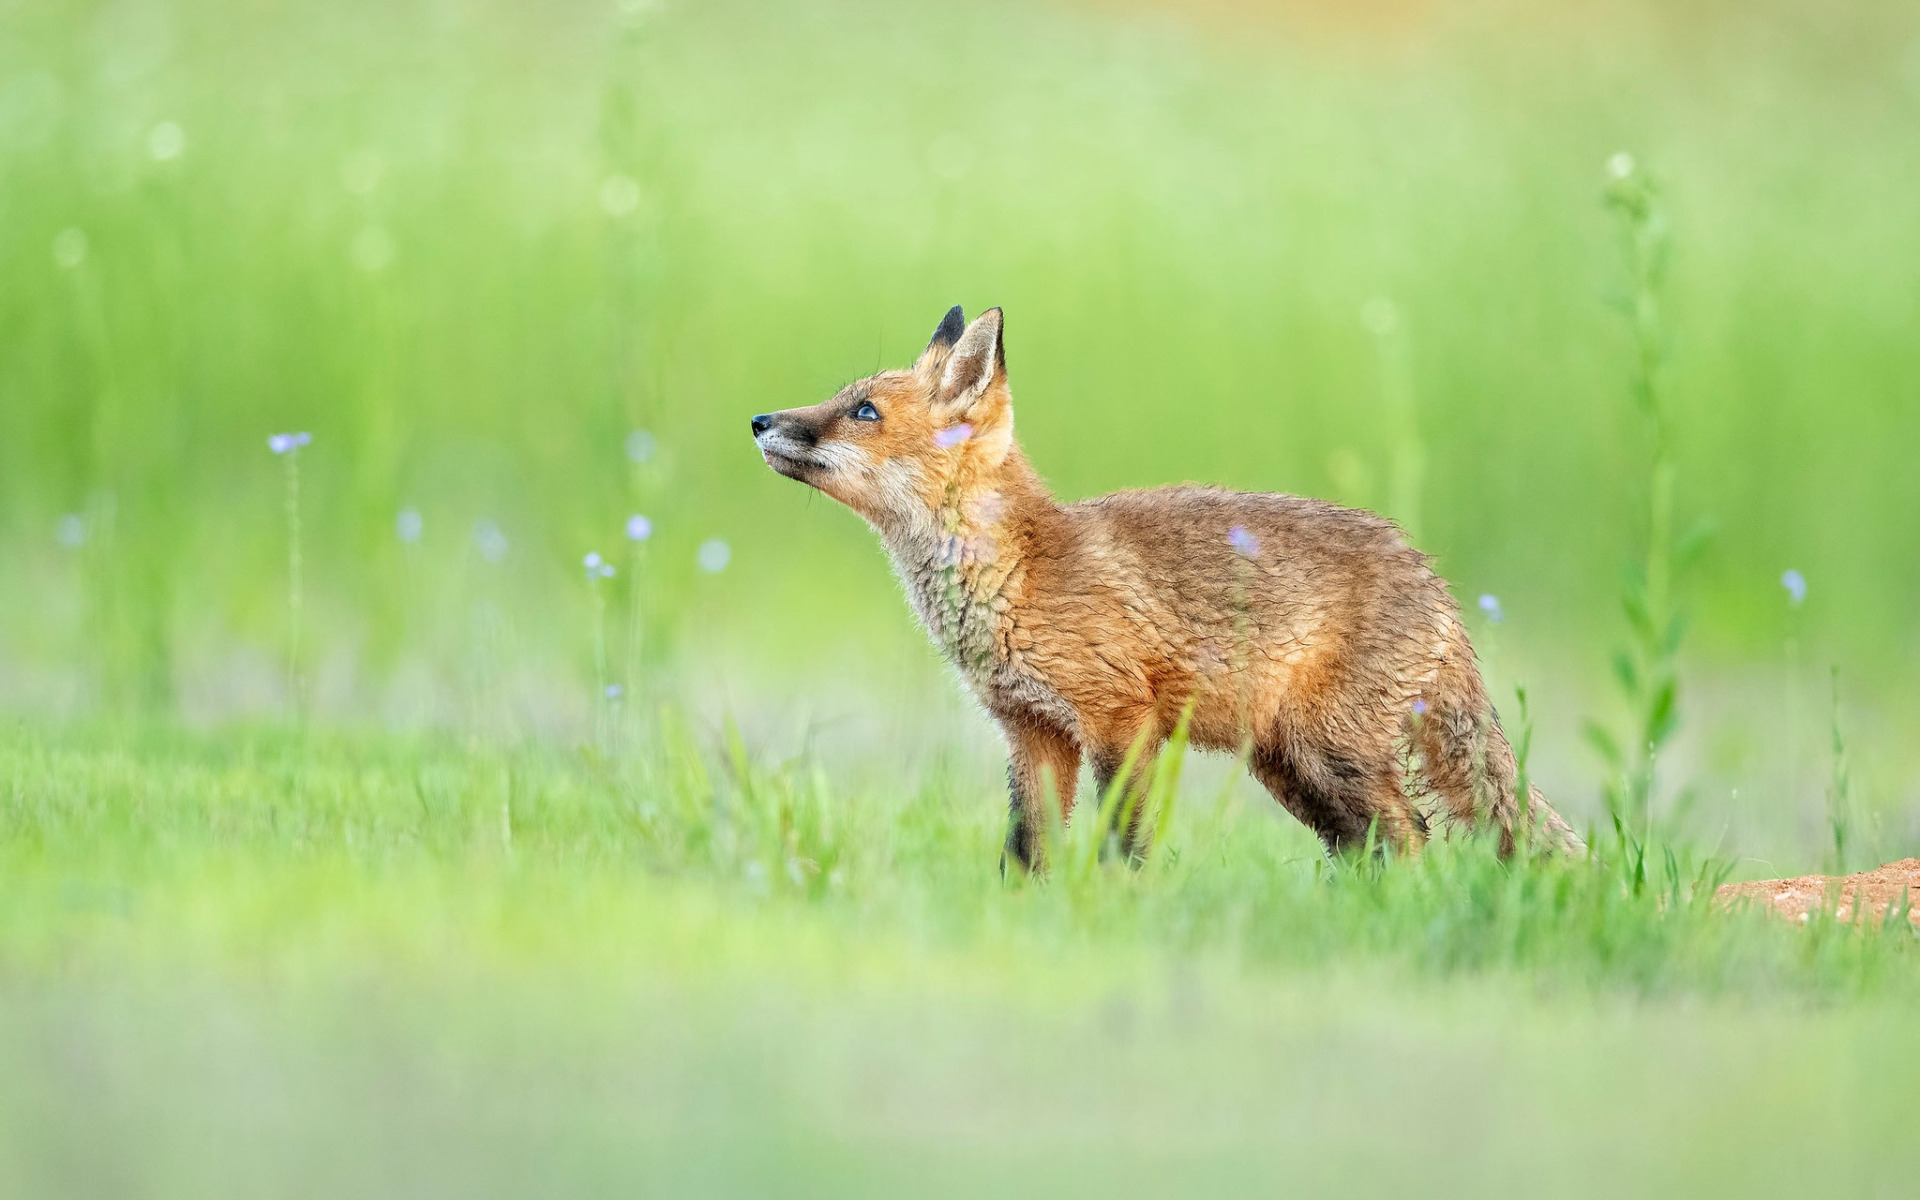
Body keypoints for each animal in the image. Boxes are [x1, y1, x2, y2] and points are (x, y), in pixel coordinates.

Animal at [756, 307, 1582, 871]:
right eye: (846, 399)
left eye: (864, 413)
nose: (762, 418)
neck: (1018, 574)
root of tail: (1431, 573)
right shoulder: (1033, 731)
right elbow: (1026, 850)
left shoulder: (1124, 718)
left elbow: (1124, 840)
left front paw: (1121, 909)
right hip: (1291, 767)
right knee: (1378, 844)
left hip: (1330, 753)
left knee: (1411, 836)